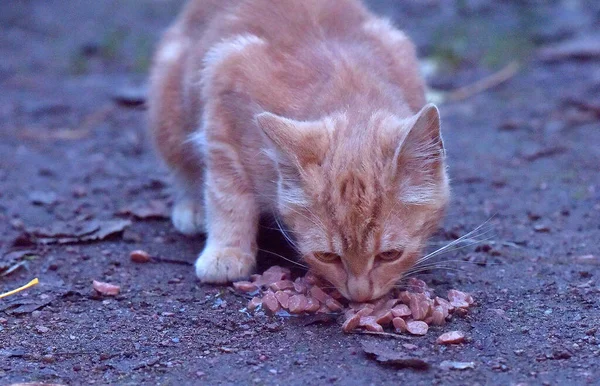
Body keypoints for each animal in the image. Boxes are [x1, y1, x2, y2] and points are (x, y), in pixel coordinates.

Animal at [149, 0, 450, 302]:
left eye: (390, 255)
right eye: (327, 256)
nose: (359, 295)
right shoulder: (223, 88)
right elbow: (228, 193)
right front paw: (227, 251)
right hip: (169, 109)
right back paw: (191, 206)